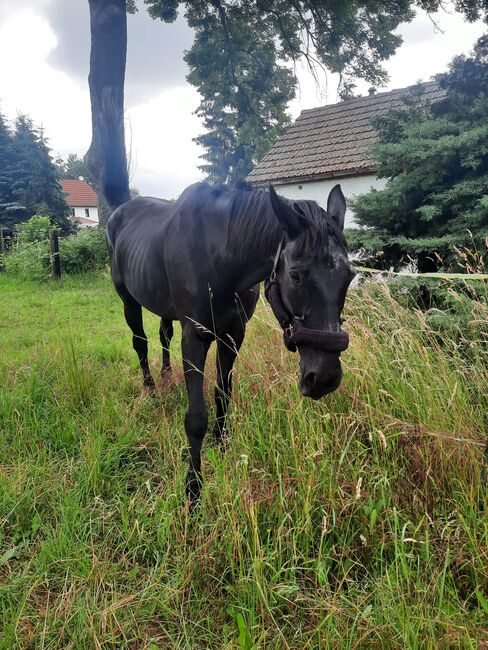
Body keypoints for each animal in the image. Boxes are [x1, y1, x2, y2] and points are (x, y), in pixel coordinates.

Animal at [107, 180, 354, 498]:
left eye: (350, 276)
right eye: (296, 275)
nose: (324, 378)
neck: (221, 258)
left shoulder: (233, 335)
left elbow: (223, 395)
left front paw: (222, 447)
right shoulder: (195, 337)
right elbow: (196, 418)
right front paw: (193, 488)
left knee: (164, 335)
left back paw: (166, 374)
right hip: (128, 299)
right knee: (140, 342)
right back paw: (150, 388)